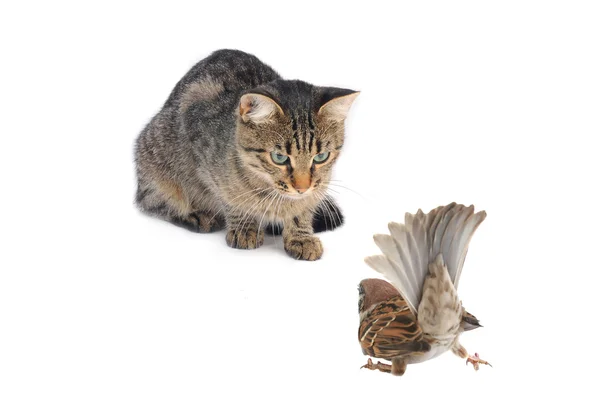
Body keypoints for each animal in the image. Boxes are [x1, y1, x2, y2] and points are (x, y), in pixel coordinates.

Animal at [135, 50, 358, 260]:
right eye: (279, 158)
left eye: (321, 157)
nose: (302, 188)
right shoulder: (203, 155)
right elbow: (230, 197)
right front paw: (244, 227)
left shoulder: (318, 187)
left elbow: (303, 209)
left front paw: (301, 236)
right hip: (156, 160)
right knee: (151, 201)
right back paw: (197, 216)